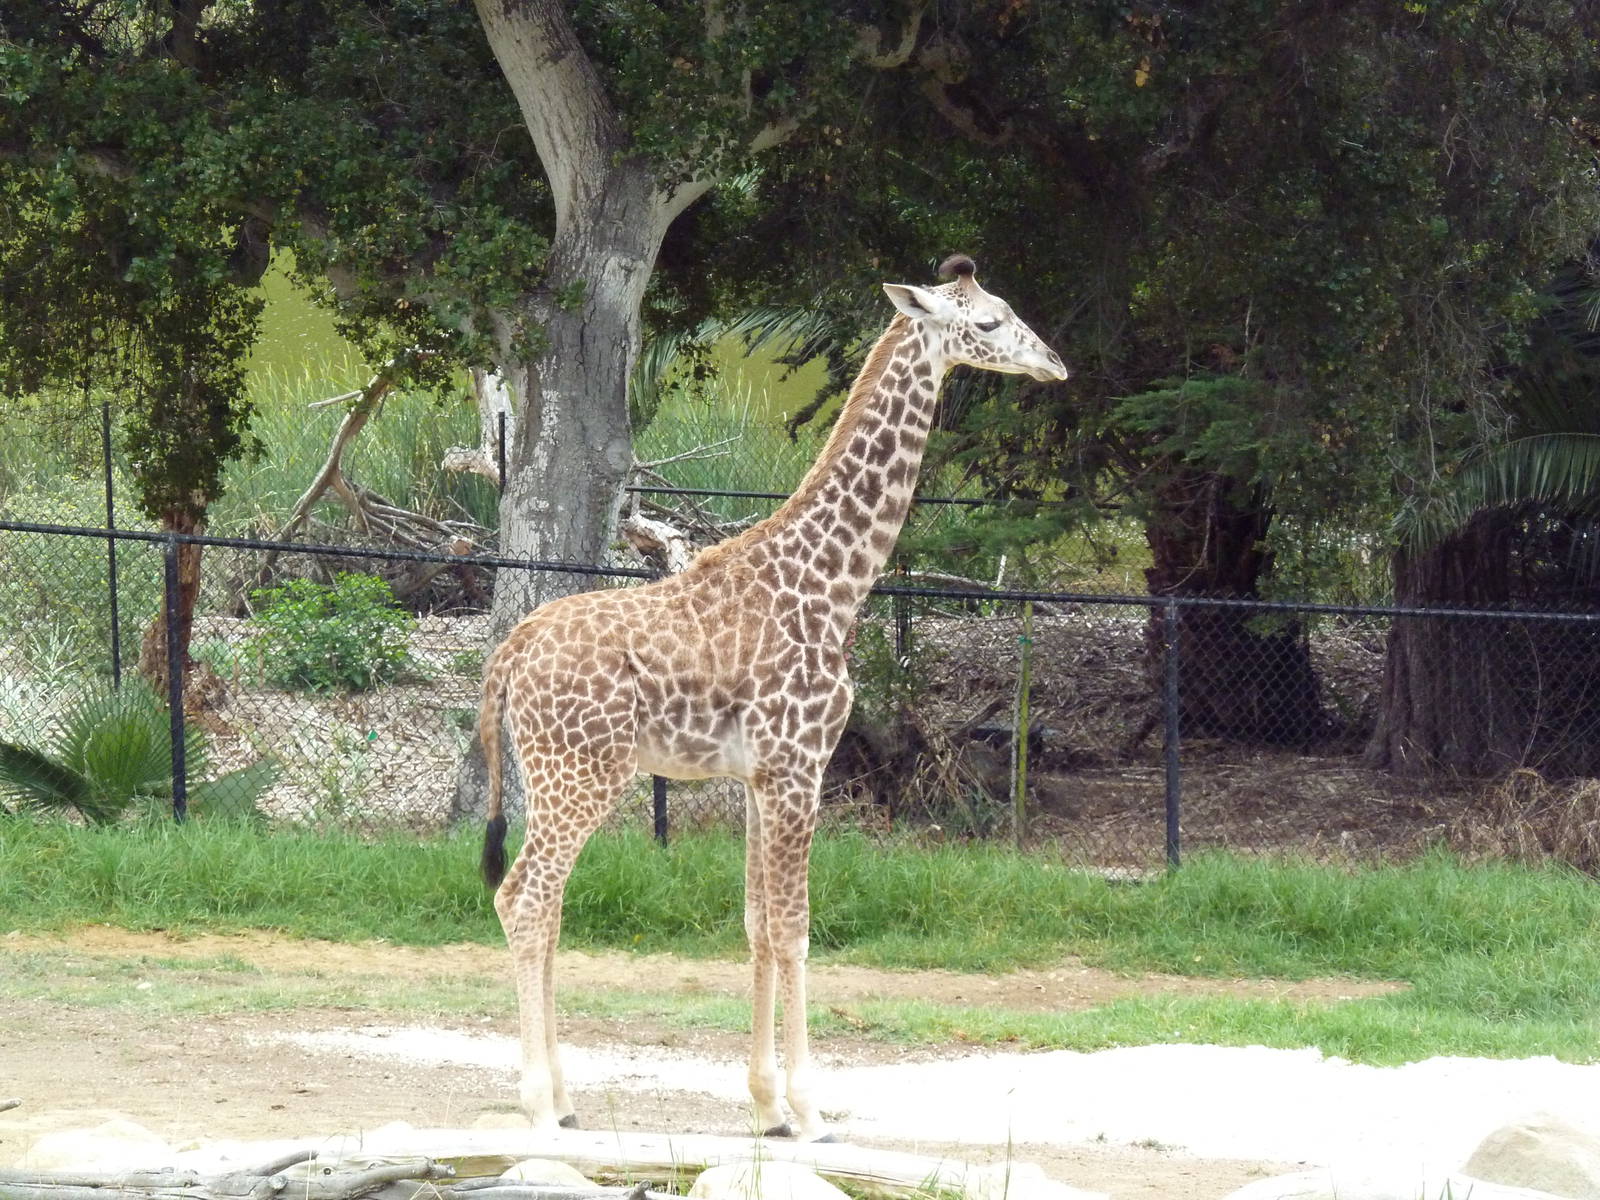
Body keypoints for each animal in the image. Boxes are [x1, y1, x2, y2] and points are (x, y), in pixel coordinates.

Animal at [478, 254, 1068, 1141]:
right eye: (991, 322)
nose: (1054, 365)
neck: (834, 587)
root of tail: (509, 656)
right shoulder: (800, 765)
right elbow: (795, 930)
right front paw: (812, 1110)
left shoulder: (760, 776)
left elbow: (757, 926)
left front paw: (764, 1106)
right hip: (580, 773)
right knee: (525, 899)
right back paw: (541, 1108)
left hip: (554, 774)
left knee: (544, 907)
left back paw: (569, 1101)